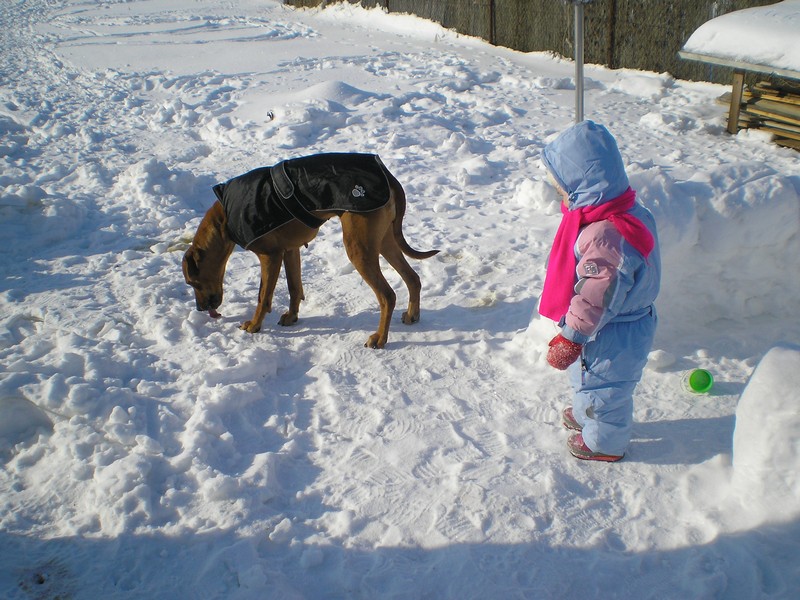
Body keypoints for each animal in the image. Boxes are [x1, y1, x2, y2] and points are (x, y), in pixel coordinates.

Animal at [183, 155, 438, 350]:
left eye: (193, 282)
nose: (200, 308)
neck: (223, 218)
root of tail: (386, 173)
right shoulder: (290, 250)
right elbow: (294, 287)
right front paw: (291, 316)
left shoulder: (270, 255)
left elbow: (263, 297)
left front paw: (254, 326)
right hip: (384, 240)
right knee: (413, 278)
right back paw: (412, 314)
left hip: (359, 248)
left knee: (387, 296)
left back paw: (380, 338)